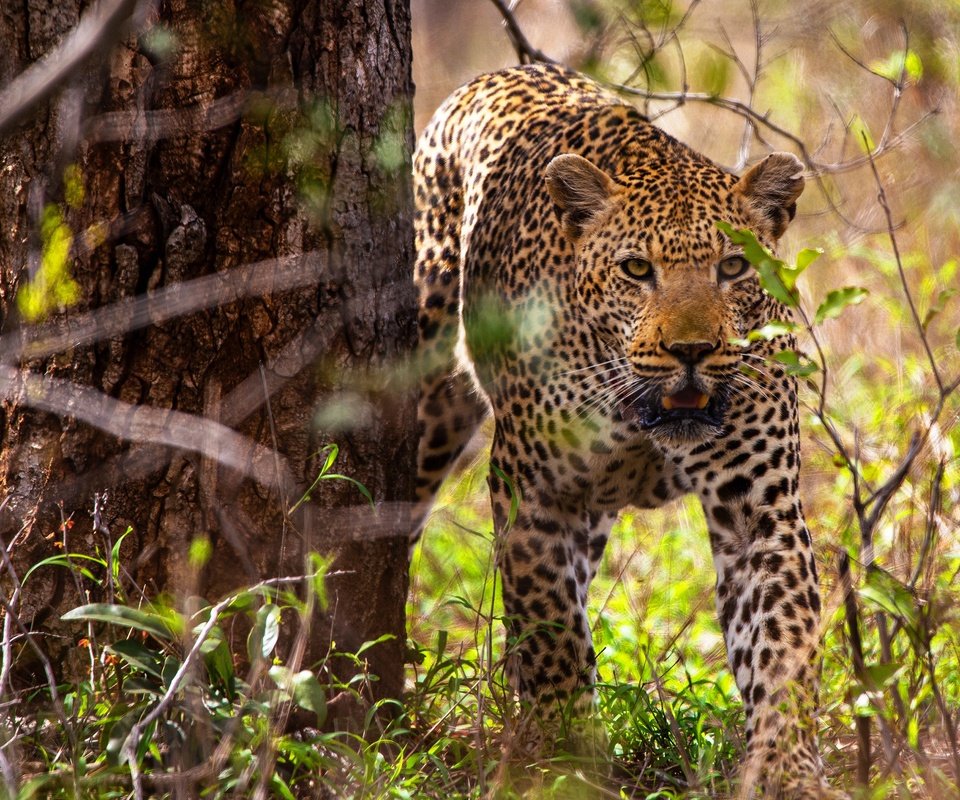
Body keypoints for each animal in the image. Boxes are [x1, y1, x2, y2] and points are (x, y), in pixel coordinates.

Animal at [412, 59, 840, 796]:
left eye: (733, 267)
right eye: (637, 270)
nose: (691, 350)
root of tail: (500, 72)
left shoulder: (759, 509)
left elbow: (784, 639)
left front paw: (787, 770)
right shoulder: (537, 494)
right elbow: (553, 637)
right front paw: (565, 762)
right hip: (431, 393)